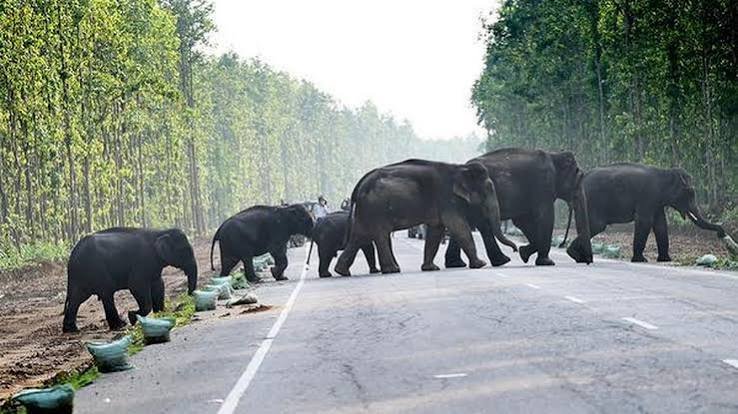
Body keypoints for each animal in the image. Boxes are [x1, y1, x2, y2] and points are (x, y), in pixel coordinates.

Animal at [62, 227, 198, 333]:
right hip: (95, 269)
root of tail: (72, 255)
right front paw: (132, 317)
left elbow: (159, 284)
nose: (188, 296)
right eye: (184, 250)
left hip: (82, 275)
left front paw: (160, 315)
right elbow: (136, 286)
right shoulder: (142, 261)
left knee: (77, 298)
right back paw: (120, 325)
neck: (160, 231)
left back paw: (71, 329)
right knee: (105, 294)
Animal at [334, 159, 517, 276]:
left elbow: (436, 231)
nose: (515, 249)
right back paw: (392, 270)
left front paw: (430, 268)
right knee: (380, 235)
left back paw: (342, 271)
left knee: (359, 235)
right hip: (376, 208)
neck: (459, 168)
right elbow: (459, 227)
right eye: (488, 190)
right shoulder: (447, 199)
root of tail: (359, 184)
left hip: (366, 209)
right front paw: (480, 264)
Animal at [444, 148, 593, 267]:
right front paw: (546, 262)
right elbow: (546, 217)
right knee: (479, 224)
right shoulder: (542, 186)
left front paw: (523, 254)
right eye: (580, 178)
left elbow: (523, 222)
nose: (587, 261)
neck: (554, 155)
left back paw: (457, 264)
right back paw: (500, 261)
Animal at [563, 163, 727, 263]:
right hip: (593, 202)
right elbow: (645, 221)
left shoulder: (657, 202)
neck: (664, 172)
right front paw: (640, 260)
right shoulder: (648, 196)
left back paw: (578, 256)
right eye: (689, 193)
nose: (722, 233)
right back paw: (574, 254)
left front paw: (666, 260)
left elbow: (661, 225)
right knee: (597, 225)